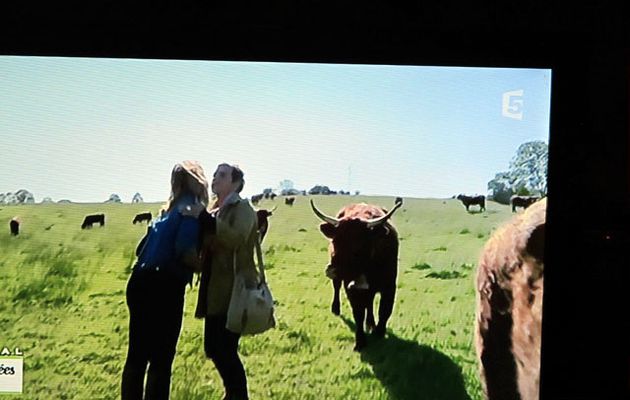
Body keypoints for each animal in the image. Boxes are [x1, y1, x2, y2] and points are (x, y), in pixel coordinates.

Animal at [312, 199, 404, 350]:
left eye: (359, 244)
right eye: (335, 241)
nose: (333, 270)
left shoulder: (390, 286)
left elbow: (385, 310)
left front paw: (379, 332)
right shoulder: (350, 286)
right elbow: (358, 313)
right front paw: (360, 341)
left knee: (370, 302)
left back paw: (371, 323)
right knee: (337, 288)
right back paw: (336, 309)